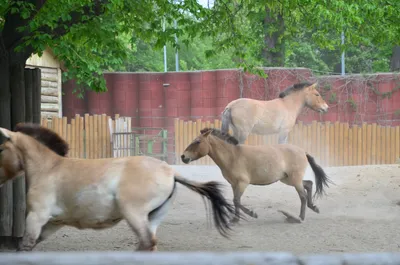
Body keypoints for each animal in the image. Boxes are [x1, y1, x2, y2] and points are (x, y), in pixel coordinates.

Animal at [0, 122, 239, 251]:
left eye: (1, 149)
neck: (49, 168)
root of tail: (171, 172)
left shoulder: (37, 217)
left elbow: (25, 246)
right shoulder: (53, 222)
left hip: (134, 214)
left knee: (146, 243)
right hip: (152, 218)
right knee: (148, 245)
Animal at [180, 127, 332, 223]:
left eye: (197, 141)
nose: (183, 157)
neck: (232, 156)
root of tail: (302, 151)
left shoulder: (242, 183)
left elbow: (236, 201)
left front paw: (252, 214)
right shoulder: (234, 184)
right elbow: (236, 201)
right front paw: (235, 219)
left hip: (294, 179)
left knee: (303, 196)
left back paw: (299, 218)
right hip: (288, 179)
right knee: (309, 184)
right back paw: (313, 207)